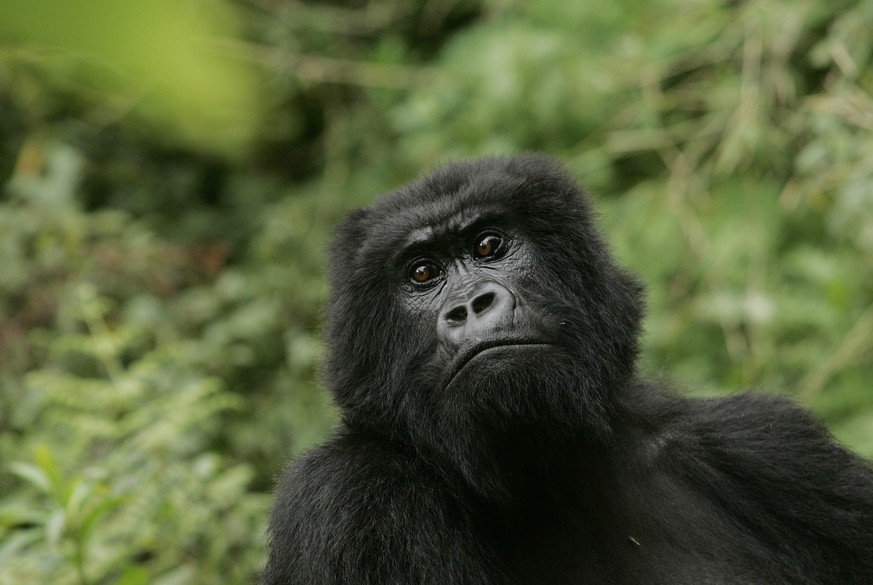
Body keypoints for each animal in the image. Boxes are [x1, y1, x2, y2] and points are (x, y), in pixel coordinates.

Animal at [262, 153, 872, 580]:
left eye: (489, 244)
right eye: (421, 273)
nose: (471, 306)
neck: (544, 475)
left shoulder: (771, 445)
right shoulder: (344, 496)